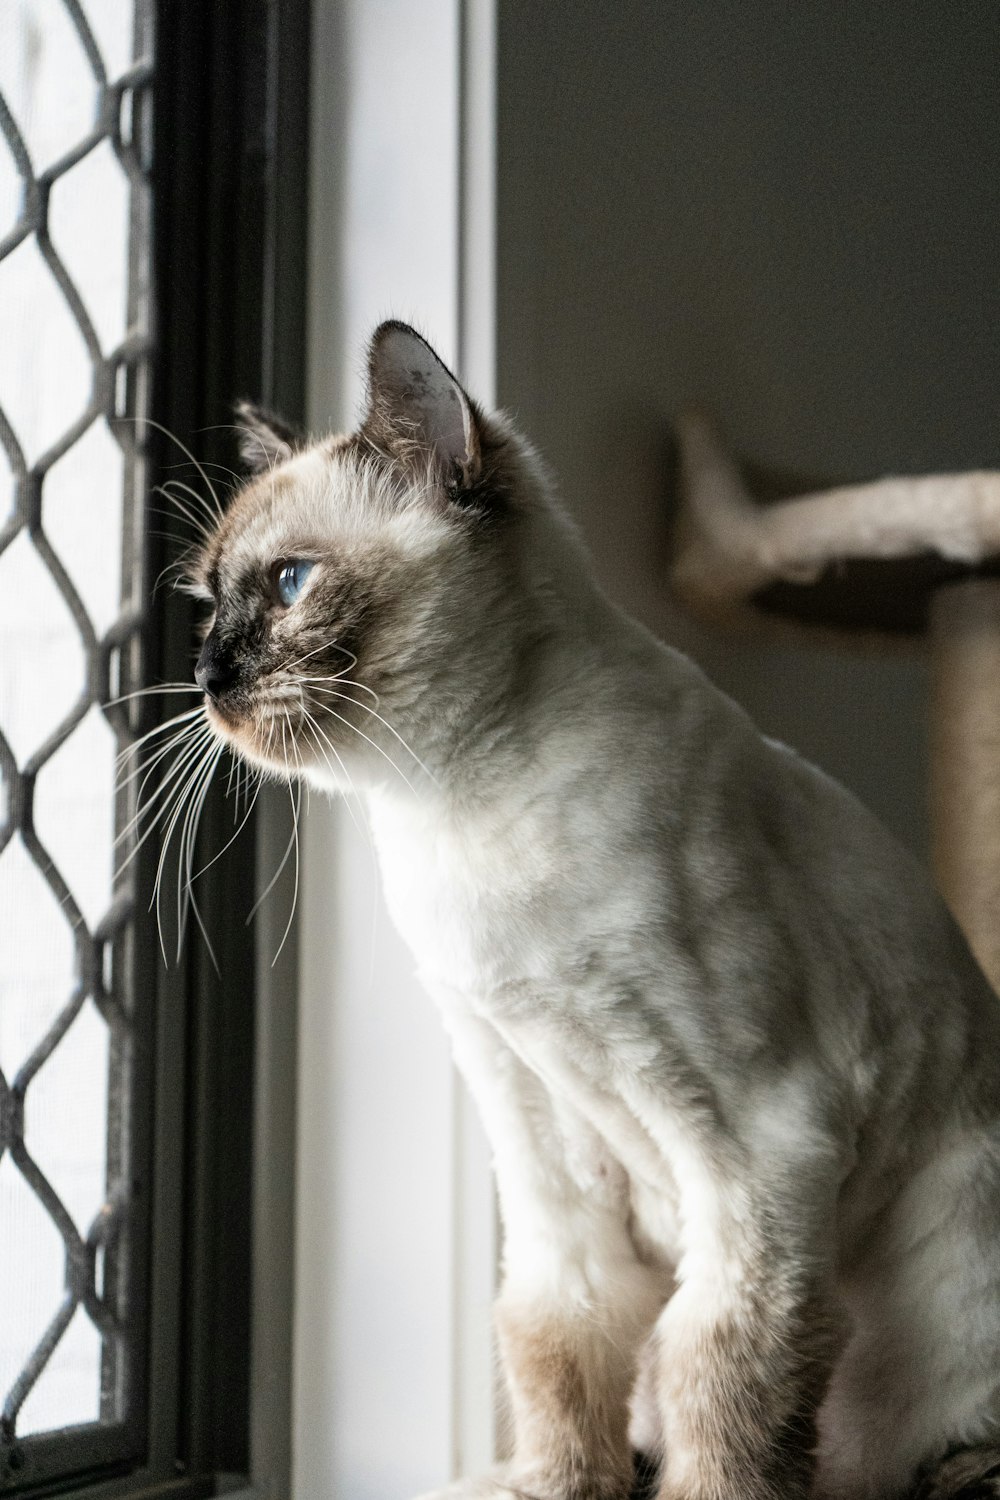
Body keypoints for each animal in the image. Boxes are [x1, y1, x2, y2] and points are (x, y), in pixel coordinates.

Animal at [187, 319, 1000, 1500]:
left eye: (290, 583)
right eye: (207, 604)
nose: (205, 675)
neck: (448, 810)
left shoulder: (758, 1138)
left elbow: (725, 1373)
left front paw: (705, 1490)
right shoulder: (531, 1111)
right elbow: (558, 1335)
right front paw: (555, 1485)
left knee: (931, 1450)